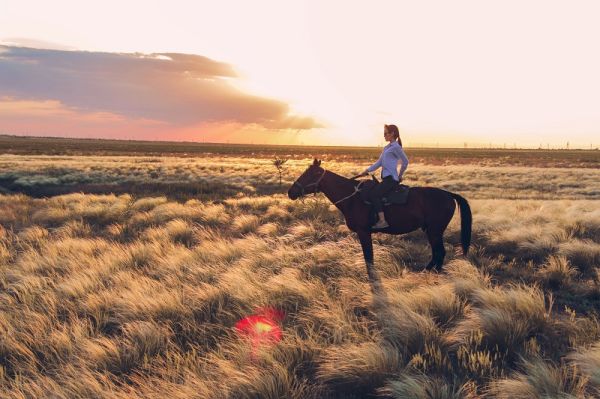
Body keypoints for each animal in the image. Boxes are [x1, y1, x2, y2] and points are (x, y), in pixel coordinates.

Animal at [288, 160, 472, 282]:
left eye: (310, 174)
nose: (291, 192)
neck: (352, 198)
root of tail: (448, 194)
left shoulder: (364, 232)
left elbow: (368, 258)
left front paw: (372, 279)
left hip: (435, 231)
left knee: (440, 253)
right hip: (431, 231)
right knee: (436, 253)